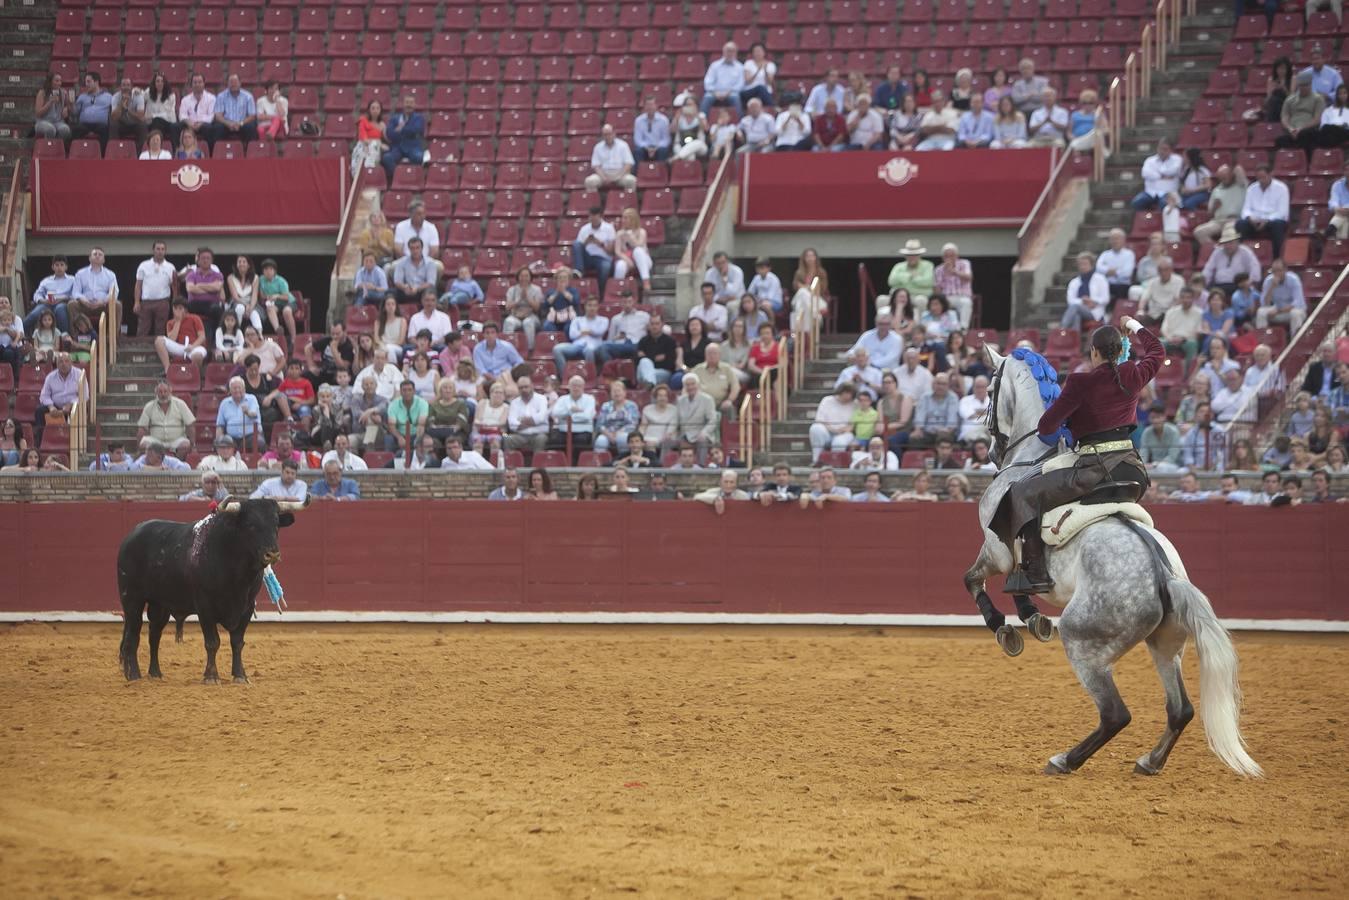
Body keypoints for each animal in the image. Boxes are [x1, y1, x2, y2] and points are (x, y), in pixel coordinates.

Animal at [117, 499, 304, 682]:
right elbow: (212, 642)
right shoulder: (205, 607)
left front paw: (240, 675)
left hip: (160, 604)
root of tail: (131, 536)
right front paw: (211, 676)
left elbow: (237, 642)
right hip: (131, 599)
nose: (272, 554)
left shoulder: (247, 607)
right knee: (133, 635)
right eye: (250, 524)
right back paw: (134, 675)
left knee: (154, 635)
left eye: (276, 524)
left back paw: (155, 673)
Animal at [960, 348, 1262, 777]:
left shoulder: (996, 550)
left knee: (1116, 714)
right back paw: (1149, 762)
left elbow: (974, 579)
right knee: (1180, 709)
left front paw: (1010, 628)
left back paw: (1064, 760)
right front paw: (1030, 621)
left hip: (1084, 642)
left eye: (987, 391)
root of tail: (1165, 577)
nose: (989, 452)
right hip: (1166, 646)